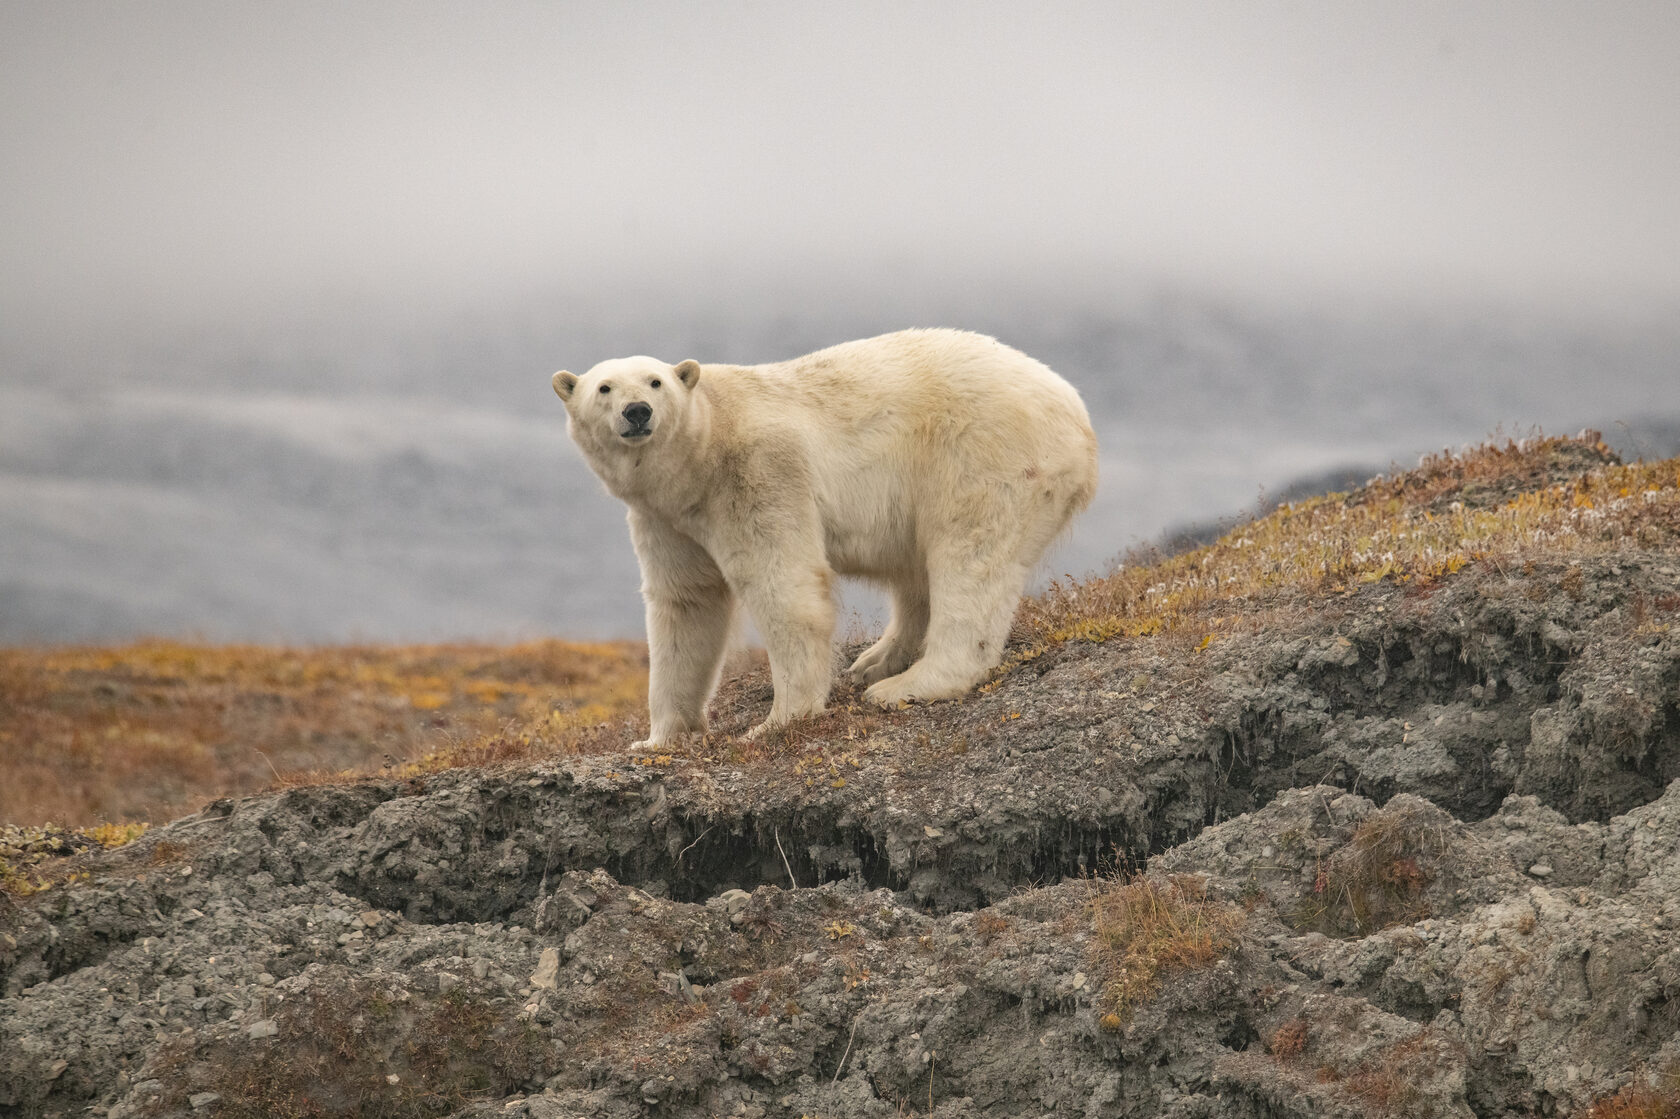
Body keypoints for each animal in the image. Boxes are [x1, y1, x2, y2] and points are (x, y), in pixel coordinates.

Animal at [554, 327, 1102, 746]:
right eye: (604, 388)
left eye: (656, 381)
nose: (638, 411)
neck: (703, 451)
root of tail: (1078, 414)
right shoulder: (667, 517)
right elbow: (685, 603)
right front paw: (659, 738)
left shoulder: (759, 473)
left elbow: (784, 588)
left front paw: (779, 721)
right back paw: (875, 662)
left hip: (985, 454)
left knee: (970, 554)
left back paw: (906, 684)